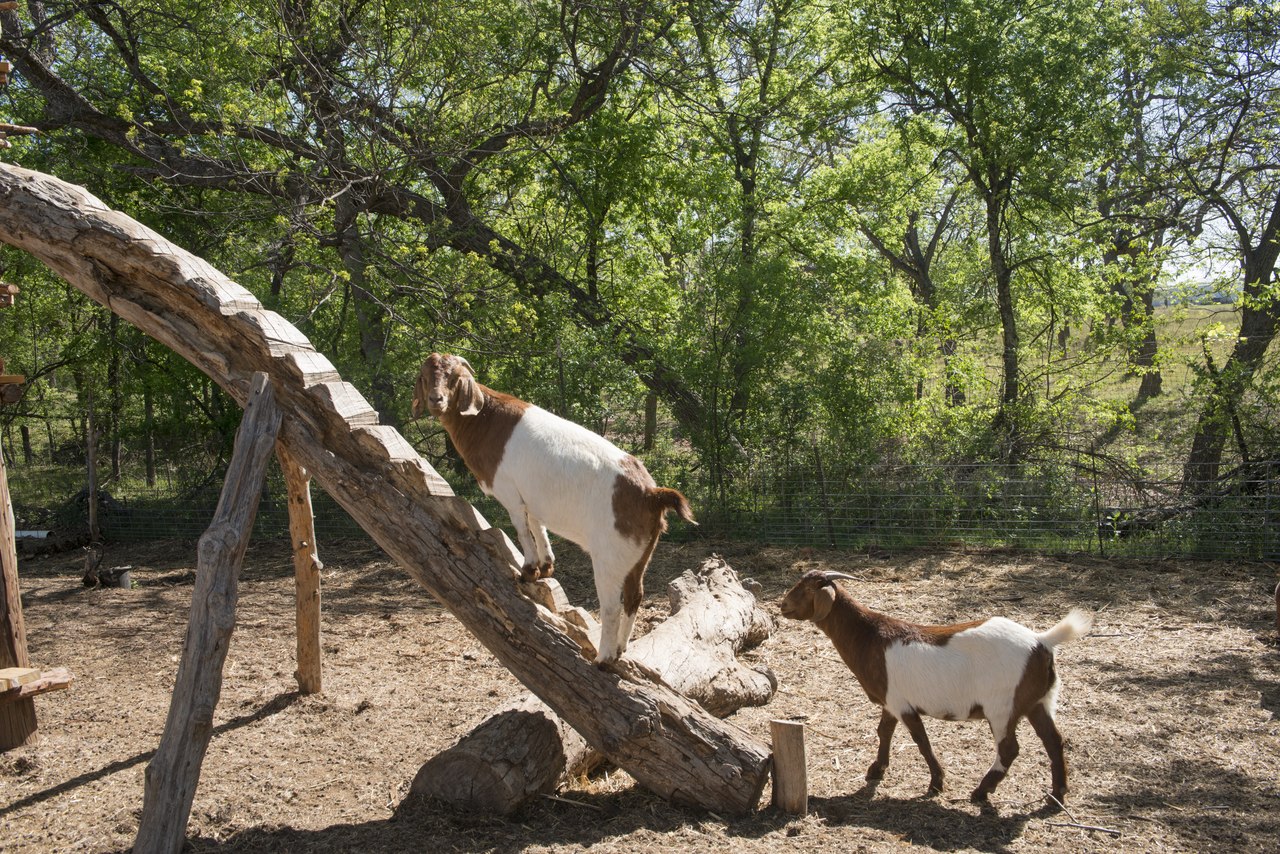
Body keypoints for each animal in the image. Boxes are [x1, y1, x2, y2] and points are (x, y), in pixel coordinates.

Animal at [412, 350, 696, 665]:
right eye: (425, 376)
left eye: (454, 377)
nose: (436, 399)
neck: (485, 420)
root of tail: (651, 494)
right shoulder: (533, 496)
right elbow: (538, 524)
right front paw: (547, 565)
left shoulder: (509, 491)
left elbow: (523, 529)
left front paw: (529, 570)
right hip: (641, 554)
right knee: (635, 596)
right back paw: (620, 650)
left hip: (610, 554)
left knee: (611, 605)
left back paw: (603, 660)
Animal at [778, 571, 1090, 804]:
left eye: (805, 589)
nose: (782, 606)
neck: (869, 636)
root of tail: (1041, 642)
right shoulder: (890, 700)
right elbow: (884, 732)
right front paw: (877, 770)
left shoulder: (901, 703)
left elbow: (921, 740)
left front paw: (937, 783)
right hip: (1040, 701)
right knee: (1054, 741)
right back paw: (1058, 793)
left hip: (1002, 706)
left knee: (1009, 748)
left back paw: (981, 791)